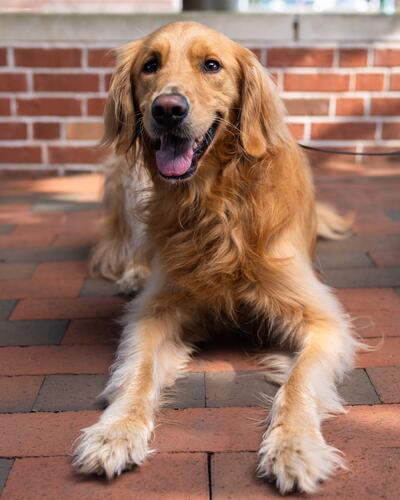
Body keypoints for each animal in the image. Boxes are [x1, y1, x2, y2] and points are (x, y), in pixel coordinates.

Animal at [72, 21, 360, 494]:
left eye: (212, 65)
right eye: (150, 65)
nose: (168, 109)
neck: (215, 202)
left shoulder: (323, 320)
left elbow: (298, 384)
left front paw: (294, 447)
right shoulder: (155, 310)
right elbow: (136, 372)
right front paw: (114, 433)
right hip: (128, 180)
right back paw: (133, 272)